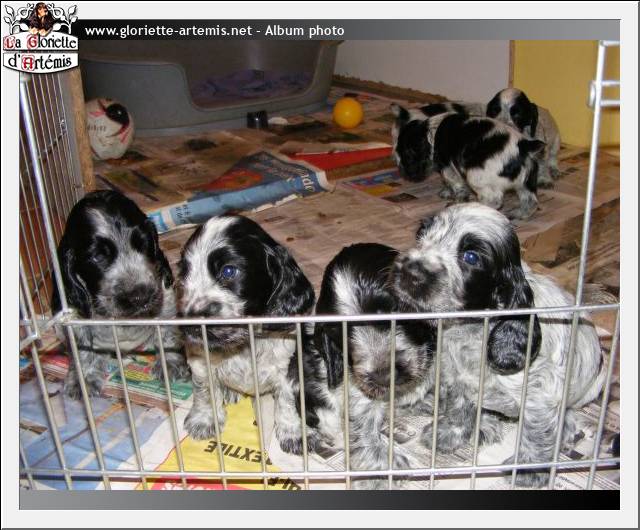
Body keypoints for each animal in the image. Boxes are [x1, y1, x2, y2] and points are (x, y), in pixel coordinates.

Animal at [52, 190, 188, 399]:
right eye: (98, 257)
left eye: (143, 244)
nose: (141, 297)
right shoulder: (75, 315)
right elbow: (82, 348)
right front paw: (82, 380)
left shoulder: (164, 295)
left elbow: (167, 330)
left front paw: (170, 363)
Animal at [177, 214, 338, 455]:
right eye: (184, 273)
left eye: (228, 271)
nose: (190, 325)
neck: (245, 340)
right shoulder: (199, 358)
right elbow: (203, 388)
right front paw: (204, 420)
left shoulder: (290, 365)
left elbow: (287, 399)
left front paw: (294, 433)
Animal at [391, 103, 545, 220]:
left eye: (406, 156)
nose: (402, 172)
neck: (431, 131)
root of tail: (523, 146)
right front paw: (446, 192)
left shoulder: (448, 168)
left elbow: (456, 185)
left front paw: (456, 200)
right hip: (527, 181)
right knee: (531, 201)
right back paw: (519, 214)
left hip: (476, 177)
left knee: (494, 200)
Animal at [392, 203, 606, 487]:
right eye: (421, 236)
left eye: (471, 257)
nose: (409, 270)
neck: (473, 329)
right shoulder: (458, 378)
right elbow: (459, 407)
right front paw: (449, 433)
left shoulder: (539, 397)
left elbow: (536, 436)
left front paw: (527, 471)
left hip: (594, 385)